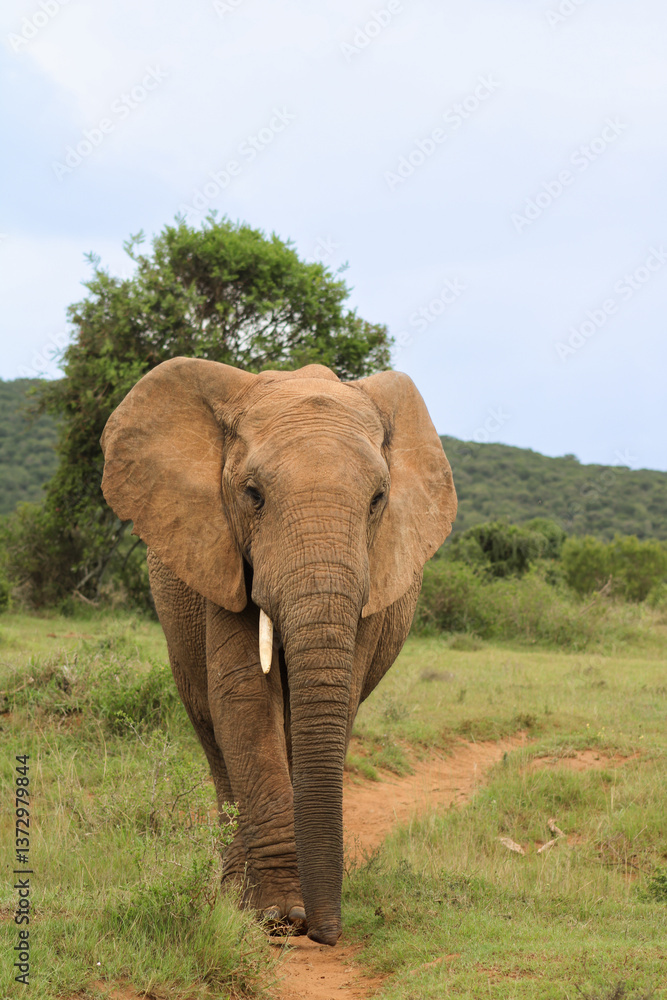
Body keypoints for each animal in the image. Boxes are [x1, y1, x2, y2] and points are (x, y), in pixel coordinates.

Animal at [100, 358, 456, 946]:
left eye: (378, 500)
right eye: (253, 495)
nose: (327, 934)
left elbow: (329, 701)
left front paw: (293, 911)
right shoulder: (222, 551)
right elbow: (243, 695)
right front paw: (279, 916)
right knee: (209, 726)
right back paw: (232, 894)